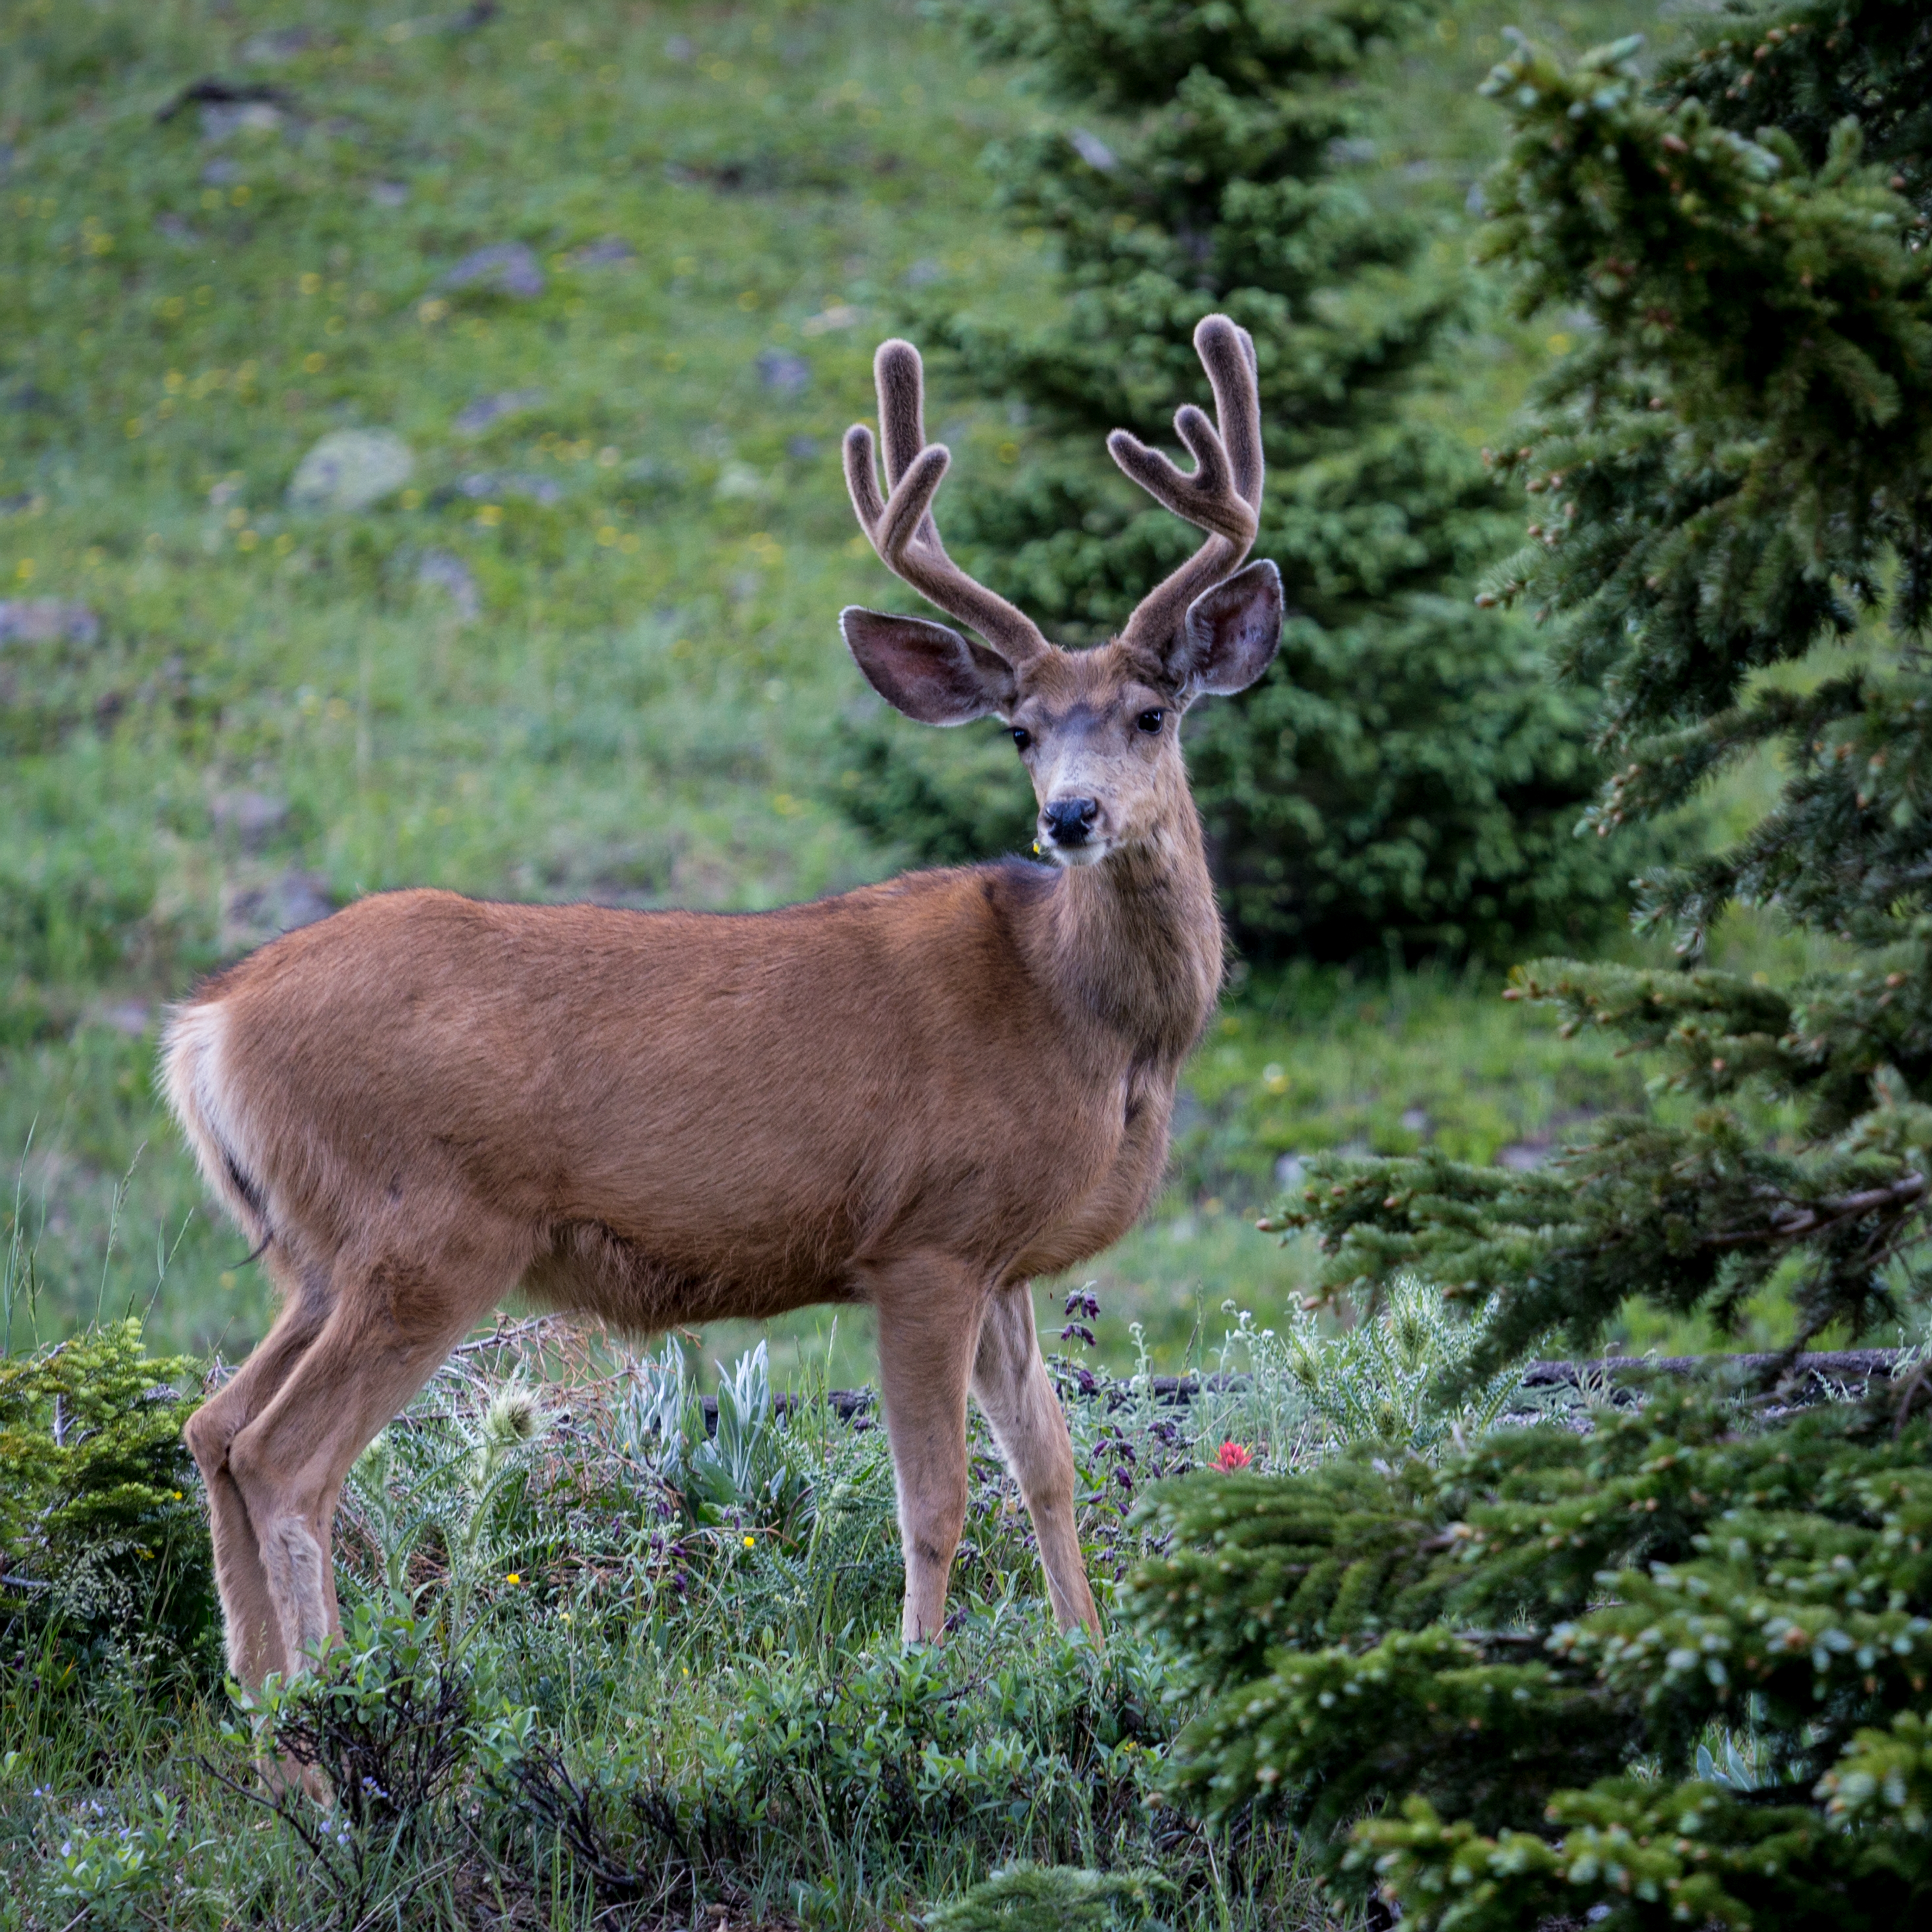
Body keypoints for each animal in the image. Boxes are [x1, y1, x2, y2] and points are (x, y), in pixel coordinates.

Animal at [163, 313, 1280, 1691]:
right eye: (1019, 729)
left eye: (1151, 712)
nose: (1070, 816)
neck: (1090, 1028)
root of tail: (205, 1029)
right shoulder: (922, 1240)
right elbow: (937, 1495)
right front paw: (917, 1679)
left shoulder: (1005, 1256)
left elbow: (1050, 1471)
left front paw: (1089, 1658)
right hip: (425, 1229)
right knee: (284, 1455)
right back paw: (329, 1705)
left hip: (316, 1251)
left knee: (214, 1424)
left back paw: (260, 1703)